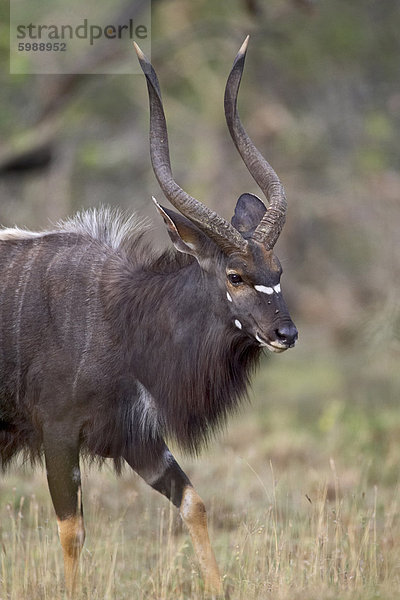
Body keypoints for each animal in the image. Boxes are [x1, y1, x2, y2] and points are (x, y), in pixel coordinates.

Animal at [0, 38, 296, 596]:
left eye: (278, 269)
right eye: (235, 275)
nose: (285, 333)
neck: (123, 320)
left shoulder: (139, 438)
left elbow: (194, 503)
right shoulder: (58, 432)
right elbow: (72, 530)